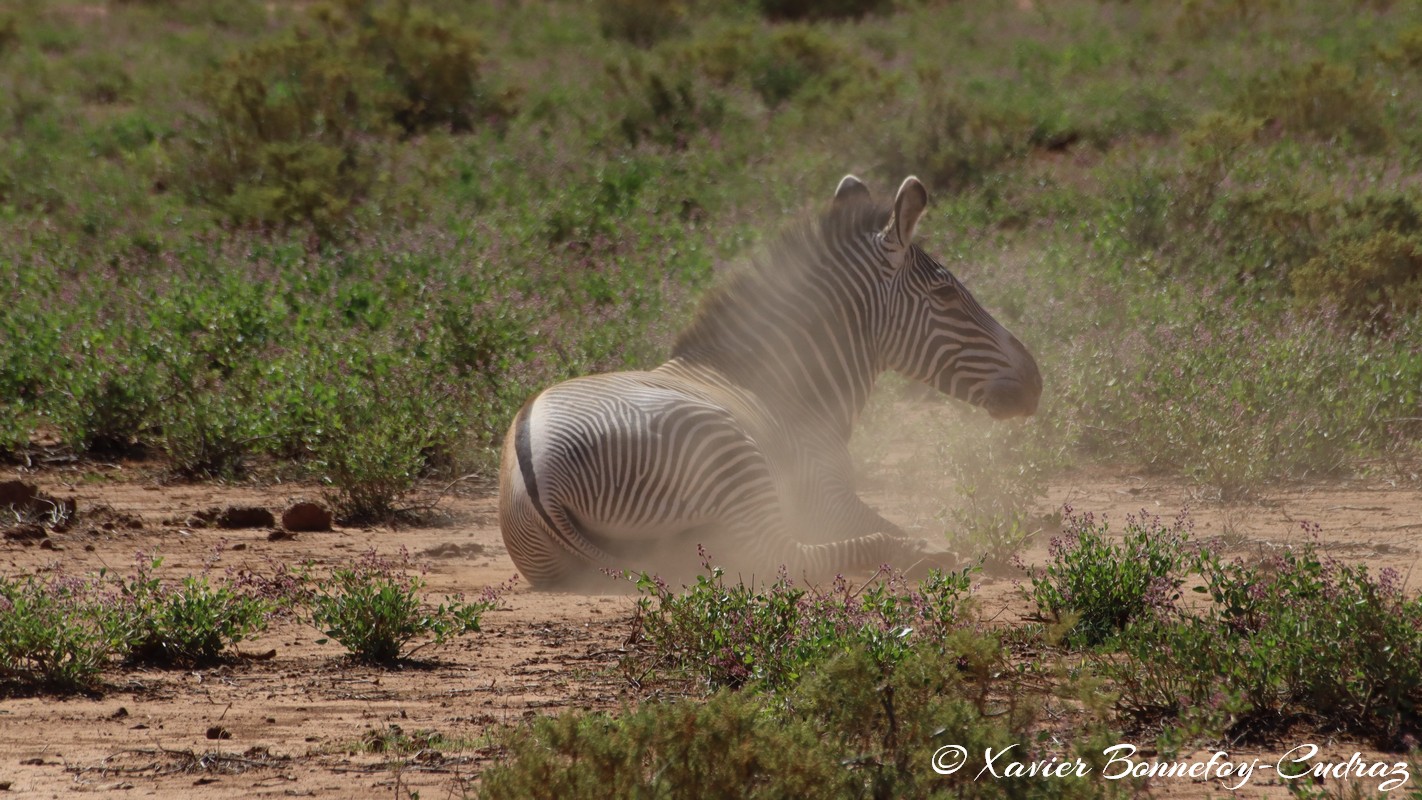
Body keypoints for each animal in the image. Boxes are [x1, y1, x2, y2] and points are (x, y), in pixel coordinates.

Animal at [500, 175, 1046, 588]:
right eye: (946, 295)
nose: (1036, 382)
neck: (784, 383)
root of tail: (541, 475)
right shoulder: (824, 493)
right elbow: (878, 520)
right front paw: (920, 542)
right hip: (728, 457)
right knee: (779, 556)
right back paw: (907, 551)